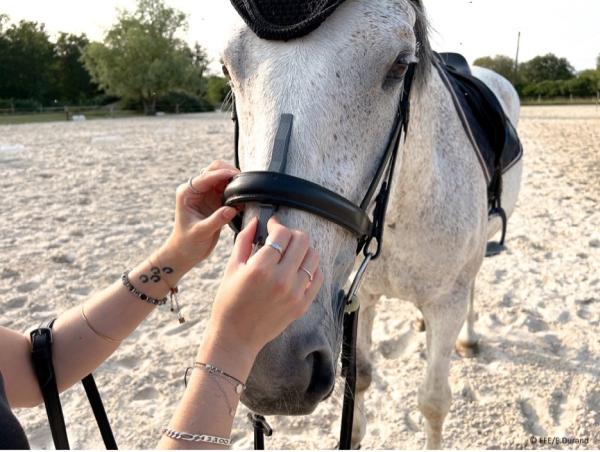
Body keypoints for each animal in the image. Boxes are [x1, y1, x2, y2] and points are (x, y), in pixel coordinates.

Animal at [223, 0, 524, 446]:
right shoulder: (358, 298)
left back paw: (469, 339)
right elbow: (361, 380)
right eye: (227, 68)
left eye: (400, 65)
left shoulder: (447, 303)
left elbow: (434, 402)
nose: (270, 368)